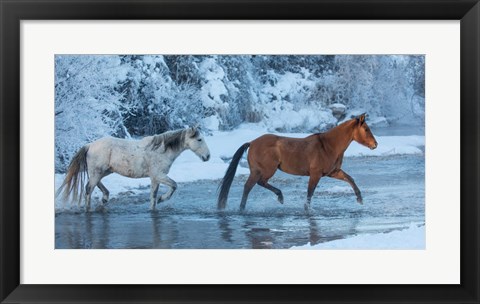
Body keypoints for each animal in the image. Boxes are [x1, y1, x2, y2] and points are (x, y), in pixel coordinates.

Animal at [56, 126, 210, 211]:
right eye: (199, 139)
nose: (207, 156)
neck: (161, 150)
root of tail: (90, 145)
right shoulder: (159, 176)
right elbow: (174, 185)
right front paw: (162, 199)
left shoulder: (155, 179)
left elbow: (153, 197)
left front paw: (155, 204)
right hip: (98, 171)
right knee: (88, 189)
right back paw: (90, 209)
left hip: (105, 171)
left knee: (94, 183)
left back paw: (105, 198)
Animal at [218, 113, 378, 211]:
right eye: (366, 129)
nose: (375, 144)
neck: (328, 146)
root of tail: (251, 142)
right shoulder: (315, 174)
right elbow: (310, 193)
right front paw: (307, 209)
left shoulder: (333, 172)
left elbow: (350, 179)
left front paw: (360, 199)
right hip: (265, 170)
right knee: (251, 186)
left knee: (255, 185)